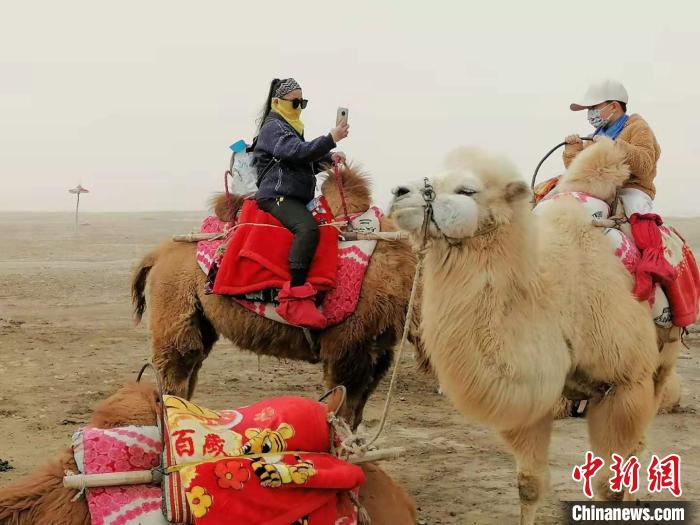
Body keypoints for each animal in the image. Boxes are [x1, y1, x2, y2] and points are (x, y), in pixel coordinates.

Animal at [129, 166, 418, 428]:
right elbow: (342, 412)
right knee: (175, 370)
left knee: (191, 365)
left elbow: (355, 414)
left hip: (200, 319)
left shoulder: (378, 351)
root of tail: (157, 254)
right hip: (174, 302)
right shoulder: (349, 345)